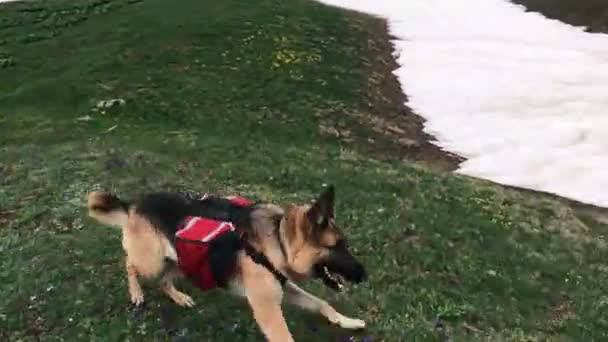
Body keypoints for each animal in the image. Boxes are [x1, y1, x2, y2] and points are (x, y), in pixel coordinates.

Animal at [86, 186, 366, 340]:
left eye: (345, 245)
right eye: (337, 247)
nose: (364, 275)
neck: (279, 238)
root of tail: (134, 204)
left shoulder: (284, 289)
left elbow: (323, 304)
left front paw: (348, 321)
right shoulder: (268, 310)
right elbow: (286, 336)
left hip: (181, 258)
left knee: (165, 281)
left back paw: (179, 297)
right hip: (151, 260)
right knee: (130, 264)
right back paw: (136, 293)